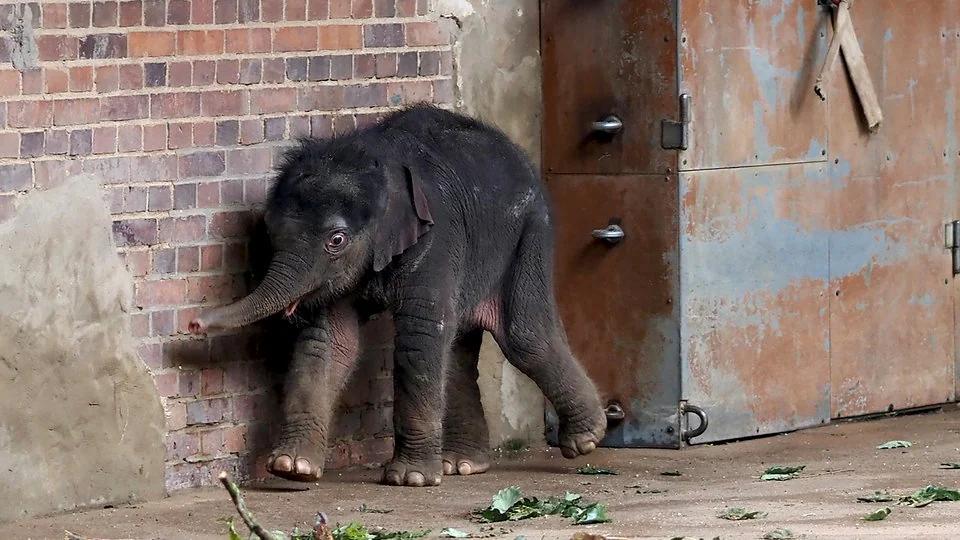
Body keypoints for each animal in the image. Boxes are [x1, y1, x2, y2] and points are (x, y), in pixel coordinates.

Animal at [188, 104, 607, 487]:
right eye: (272, 233)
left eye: (336, 240)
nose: (192, 323)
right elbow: (330, 342)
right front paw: (293, 468)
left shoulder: (436, 238)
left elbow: (418, 337)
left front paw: (411, 479)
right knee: (456, 346)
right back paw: (463, 465)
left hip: (530, 231)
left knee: (523, 335)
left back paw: (586, 440)